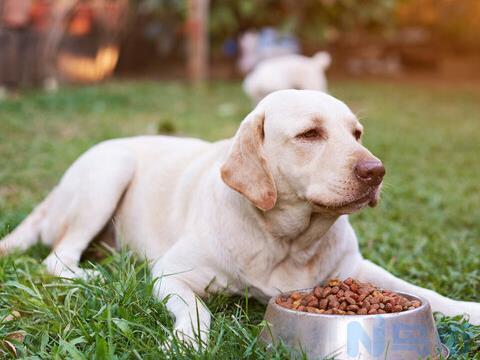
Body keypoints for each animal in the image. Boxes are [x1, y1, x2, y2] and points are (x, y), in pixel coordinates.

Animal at [0, 88, 480, 344]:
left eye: (356, 133)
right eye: (310, 134)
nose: (376, 171)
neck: (288, 240)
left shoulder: (357, 269)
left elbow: (420, 291)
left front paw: (466, 308)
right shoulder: (170, 274)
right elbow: (197, 311)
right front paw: (186, 341)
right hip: (110, 168)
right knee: (56, 259)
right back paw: (93, 274)